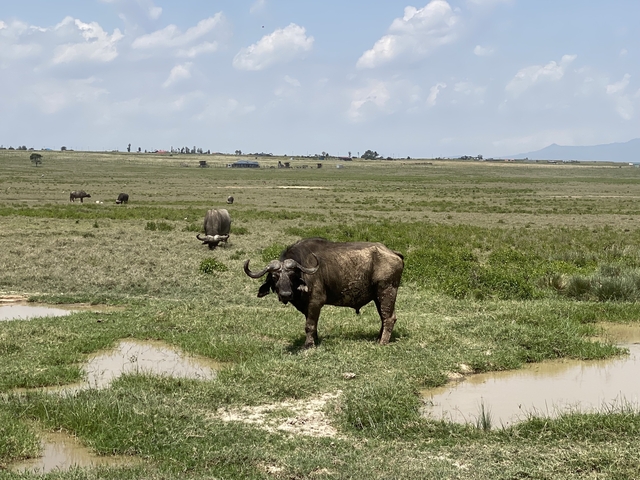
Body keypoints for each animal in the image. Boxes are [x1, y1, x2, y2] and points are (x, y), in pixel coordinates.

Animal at [244, 238, 404, 348]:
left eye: (292, 275)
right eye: (274, 277)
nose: (285, 294)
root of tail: (393, 253)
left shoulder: (315, 302)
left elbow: (309, 325)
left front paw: (308, 345)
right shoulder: (307, 307)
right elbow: (312, 324)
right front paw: (314, 340)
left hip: (386, 291)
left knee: (389, 318)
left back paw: (382, 342)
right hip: (378, 296)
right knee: (384, 317)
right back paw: (378, 338)